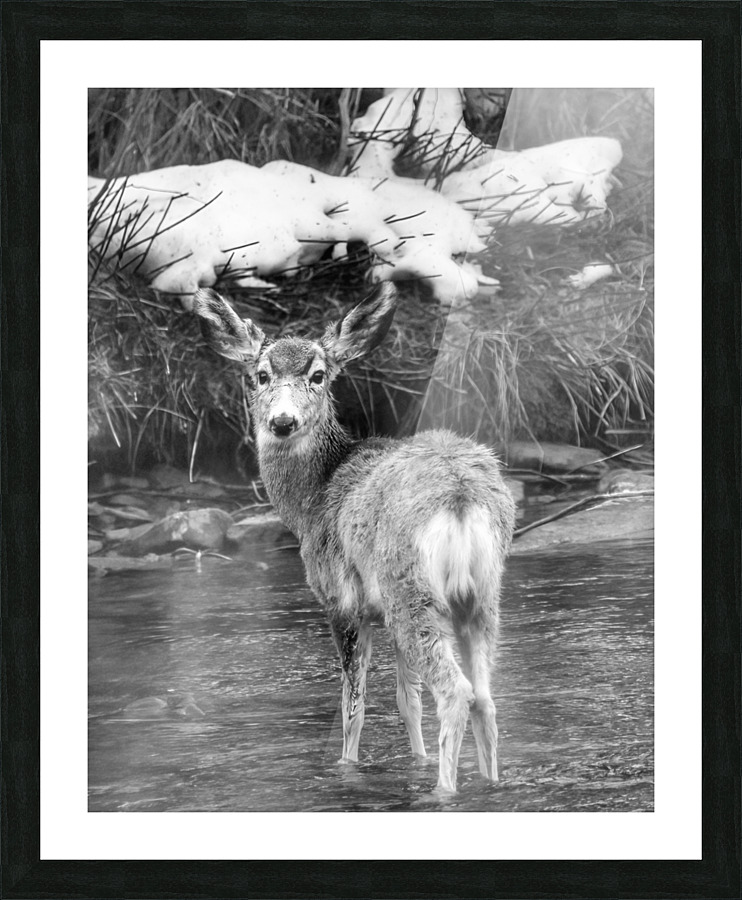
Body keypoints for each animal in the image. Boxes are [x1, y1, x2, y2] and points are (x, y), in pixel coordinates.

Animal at [194, 282, 516, 792]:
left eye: (319, 375)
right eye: (260, 376)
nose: (282, 422)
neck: (312, 498)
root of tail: (460, 496)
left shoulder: (341, 599)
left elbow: (353, 708)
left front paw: (347, 767)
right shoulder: (380, 612)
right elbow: (407, 701)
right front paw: (416, 759)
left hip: (412, 589)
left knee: (455, 692)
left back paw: (444, 788)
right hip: (482, 593)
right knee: (484, 696)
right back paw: (489, 781)